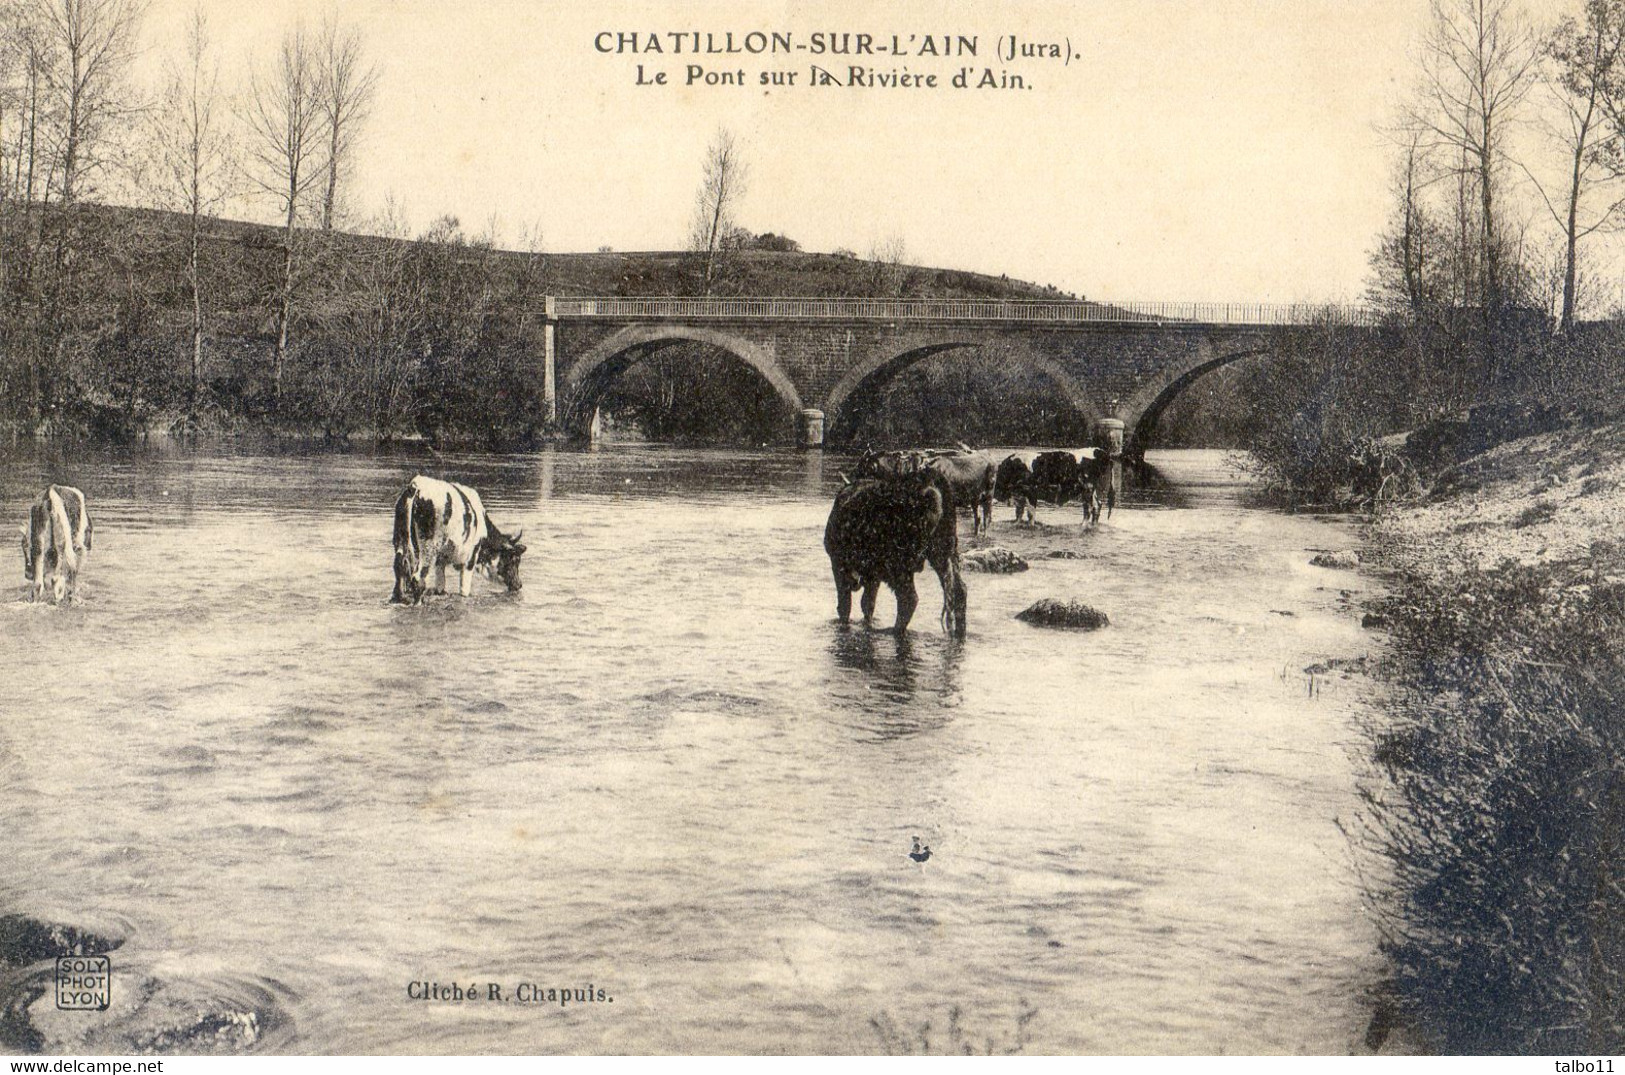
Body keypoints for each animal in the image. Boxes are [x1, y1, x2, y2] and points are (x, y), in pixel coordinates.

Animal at [388, 477, 526, 607]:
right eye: (515, 559)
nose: (519, 584)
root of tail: (416, 486)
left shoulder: (440, 560)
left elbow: (440, 586)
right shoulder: (470, 559)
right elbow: (464, 591)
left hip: (400, 541)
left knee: (400, 567)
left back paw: (397, 598)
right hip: (428, 549)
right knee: (418, 578)